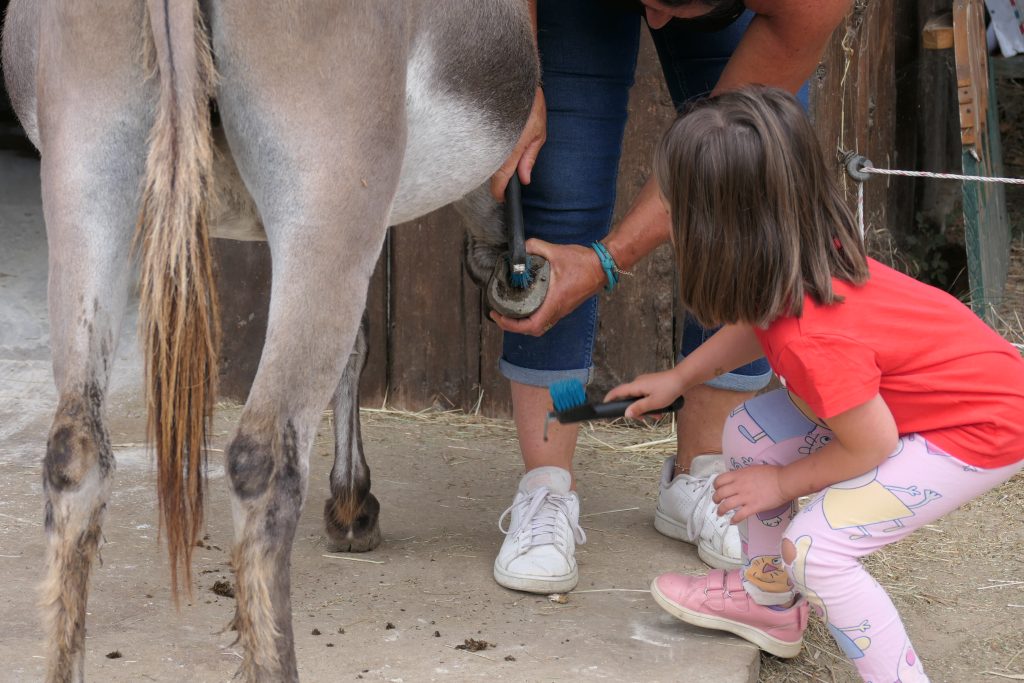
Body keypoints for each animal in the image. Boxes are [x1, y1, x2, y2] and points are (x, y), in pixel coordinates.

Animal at [1, 1, 536, 680]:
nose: (515, 275)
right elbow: (356, 347)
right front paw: (351, 508)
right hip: (326, 200)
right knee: (263, 462)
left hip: (83, 179)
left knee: (75, 454)